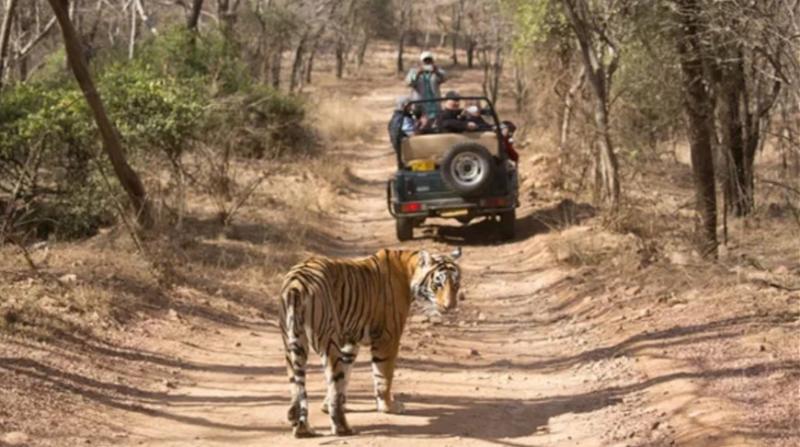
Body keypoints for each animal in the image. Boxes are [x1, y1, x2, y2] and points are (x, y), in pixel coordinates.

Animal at [279, 247, 462, 437]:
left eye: (455, 284)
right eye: (438, 284)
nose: (450, 306)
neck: (409, 269)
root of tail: (296, 285)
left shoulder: (350, 343)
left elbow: (345, 376)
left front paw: (327, 405)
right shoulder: (388, 337)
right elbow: (383, 376)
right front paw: (388, 406)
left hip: (293, 343)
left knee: (297, 384)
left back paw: (302, 428)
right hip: (327, 341)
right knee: (332, 380)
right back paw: (343, 428)